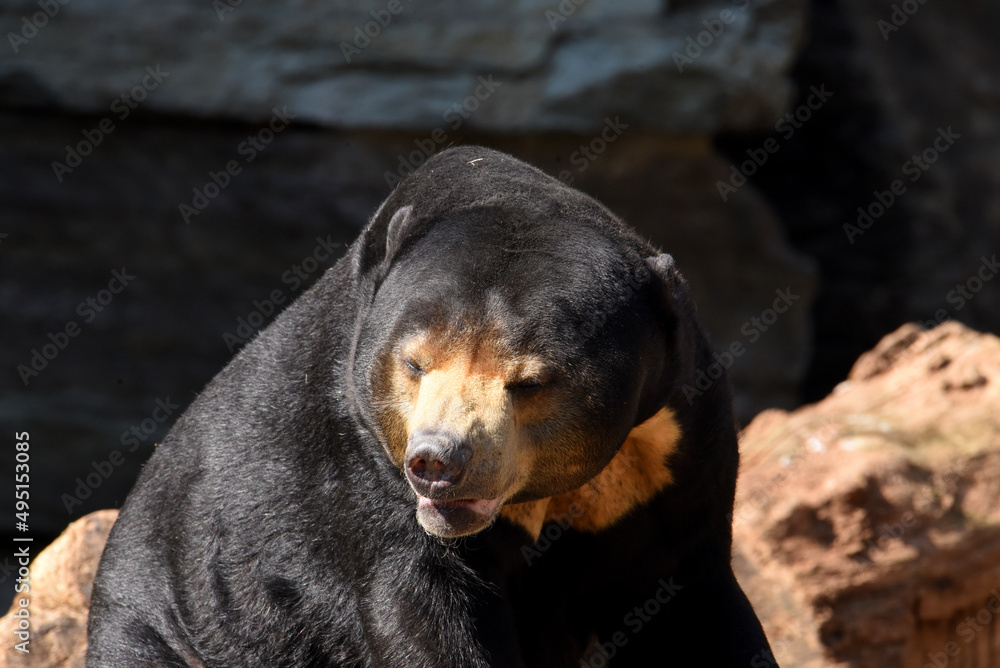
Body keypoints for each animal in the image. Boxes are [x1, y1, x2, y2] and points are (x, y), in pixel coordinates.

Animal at [88, 145, 772, 664]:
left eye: (530, 382)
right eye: (414, 364)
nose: (438, 462)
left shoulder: (672, 448)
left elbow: (690, 601)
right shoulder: (360, 465)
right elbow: (424, 615)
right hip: (167, 620)